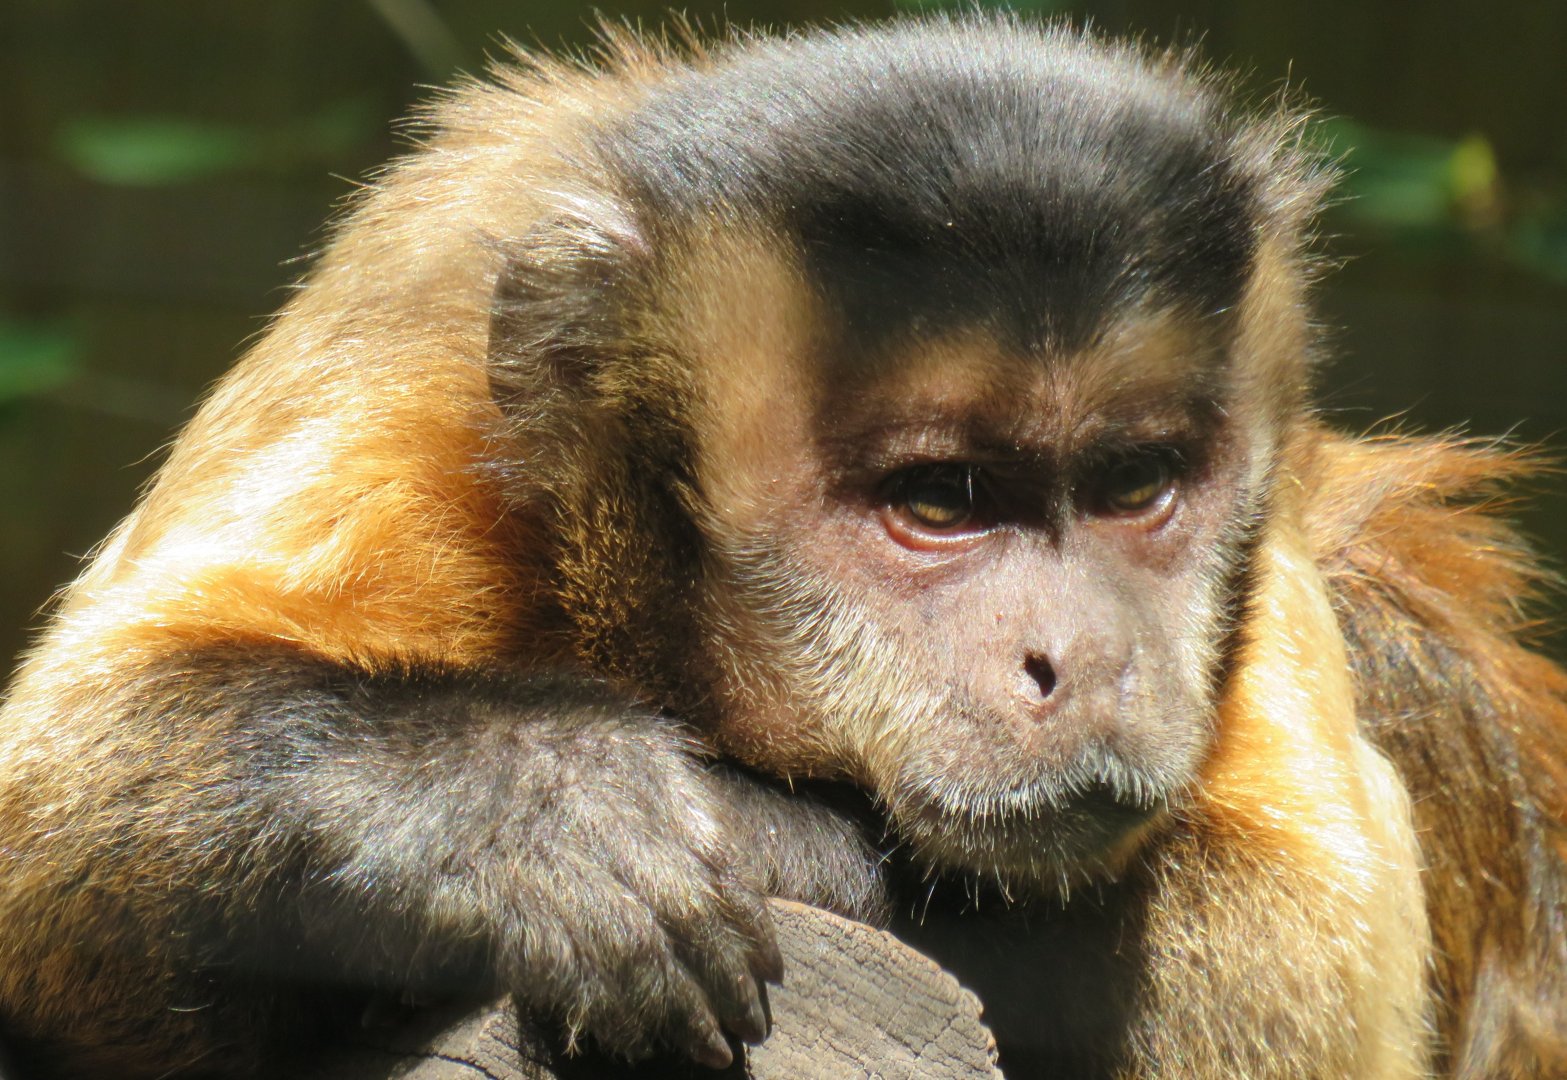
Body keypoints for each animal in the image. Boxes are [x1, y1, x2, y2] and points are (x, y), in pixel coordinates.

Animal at [1, 14, 1564, 1079]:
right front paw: (541, 807)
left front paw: (765, 841)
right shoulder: (434, 309)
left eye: (1133, 484)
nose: (1081, 654)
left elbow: (1287, 941)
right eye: (939, 500)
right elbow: (54, 794)